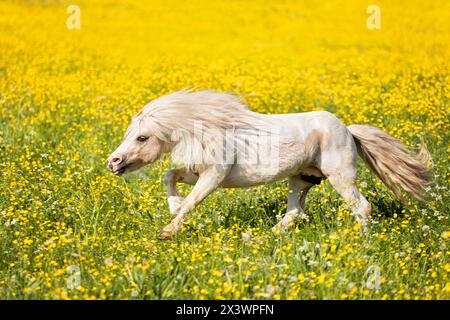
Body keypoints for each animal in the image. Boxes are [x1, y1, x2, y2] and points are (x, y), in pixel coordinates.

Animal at [106, 89, 432, 239]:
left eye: (142, 137)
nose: (113, 162)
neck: (206, 129)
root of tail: (348, 130)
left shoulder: (214, 176)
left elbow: (191, 202)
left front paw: (167, 231)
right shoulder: (195, 172)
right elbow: (171, 177)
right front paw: (172, 209)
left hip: (341, 176)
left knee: (361, 207)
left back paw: (363, 241)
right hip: (301, 178)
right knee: (294, 213)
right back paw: (264, 238)